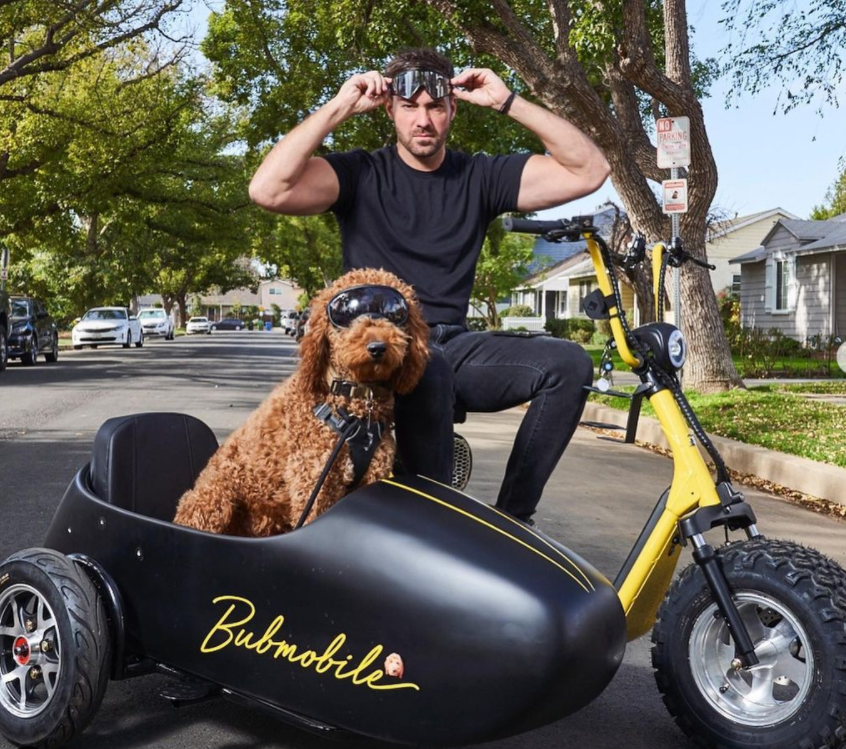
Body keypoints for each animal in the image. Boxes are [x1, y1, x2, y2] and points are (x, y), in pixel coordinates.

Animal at [176, 268, 434, 536]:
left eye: (395, 315)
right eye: (346, 314)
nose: (377, 347)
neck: (354, 404)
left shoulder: (371, 476)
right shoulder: (313, 483)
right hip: (215, 500)